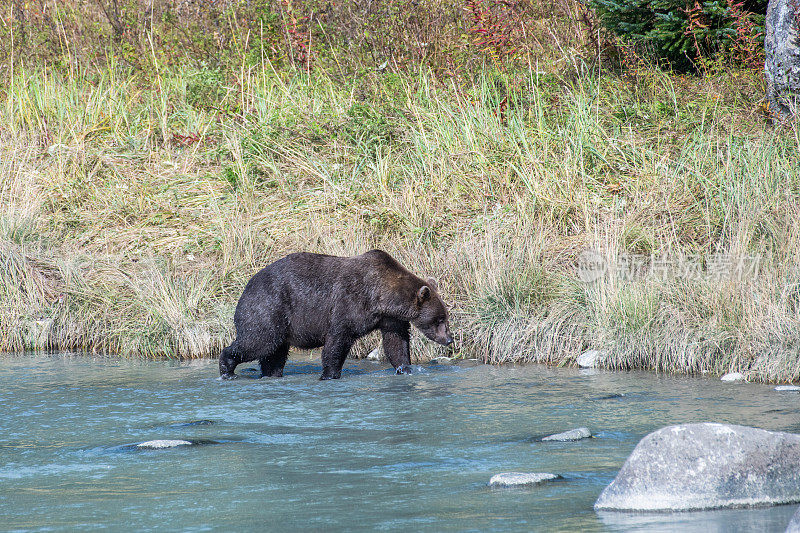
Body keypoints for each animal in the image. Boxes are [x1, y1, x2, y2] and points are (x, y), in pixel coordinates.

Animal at [219, 249, 454, 378]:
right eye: (440, 319)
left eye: (445, 318)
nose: (449, 339)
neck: (381, 297)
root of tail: (246, 288)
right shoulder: (348, 304)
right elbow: (337, 341)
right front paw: (330, 374)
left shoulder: (390, 318)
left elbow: (396, 343)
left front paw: (405, 369)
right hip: (268, 308)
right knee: (259, 341)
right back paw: (227, 369)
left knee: (274, 355)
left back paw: (271, 374)